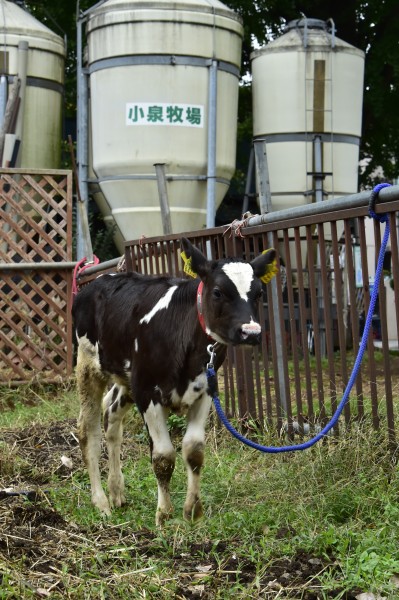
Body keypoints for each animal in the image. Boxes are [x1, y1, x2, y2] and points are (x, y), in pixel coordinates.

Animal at [72, 239, 276, 524]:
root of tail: (97, 281)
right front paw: (164, 515)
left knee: (111, 416)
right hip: (89, 365)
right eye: (217, 292)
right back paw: (101, 502)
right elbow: (163, 457)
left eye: (258, 293)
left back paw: (117, 492)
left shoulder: (204, 391)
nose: (251, 332)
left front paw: (193, 511)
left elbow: (194, 451)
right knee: (88, 431)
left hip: (127, 379)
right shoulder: (148, 392)